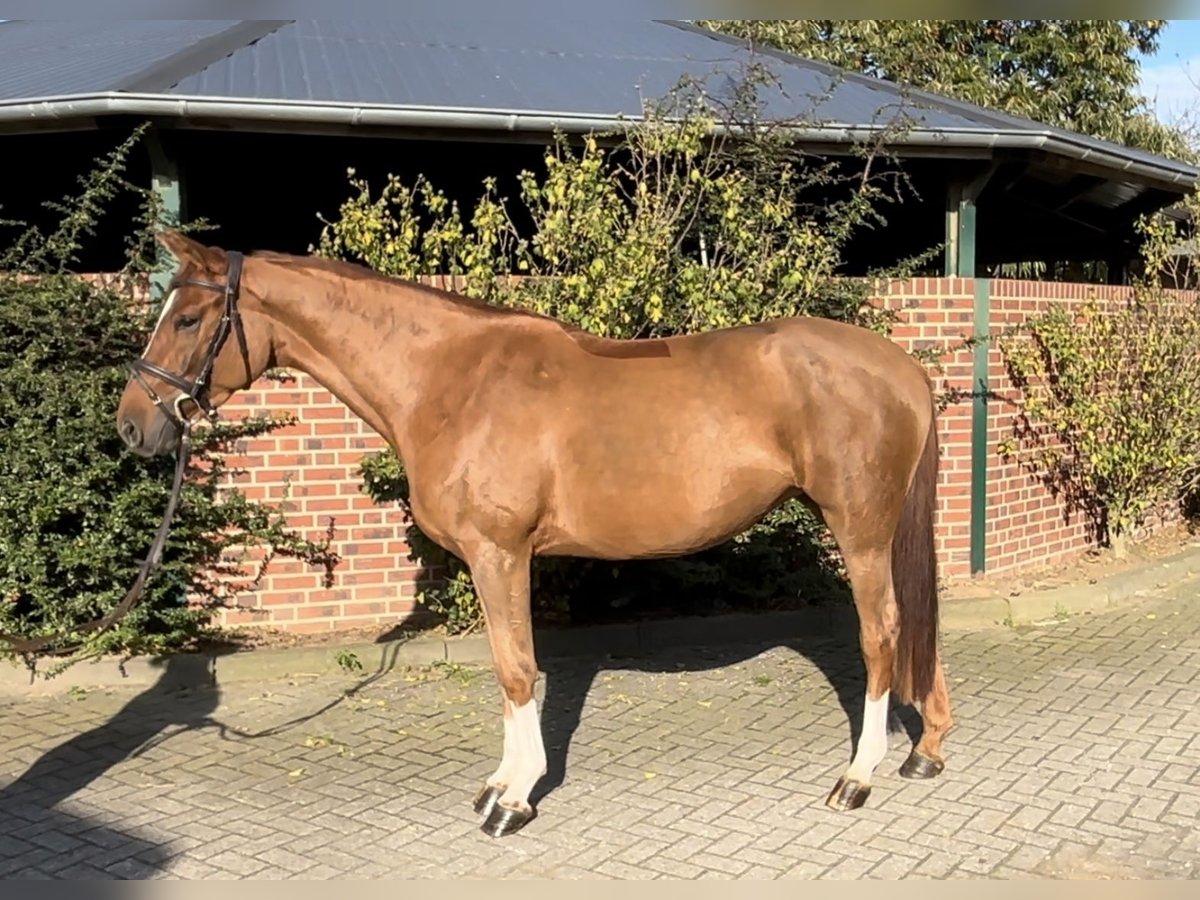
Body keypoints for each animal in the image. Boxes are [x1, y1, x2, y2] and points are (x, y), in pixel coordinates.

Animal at [114, 232, 955, 840]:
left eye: (187, 319)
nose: (132, 426)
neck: (450, 381)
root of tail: (903, 370)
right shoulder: (497, 560)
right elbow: (508, 670)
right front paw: (501, 784)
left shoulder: (501, 554)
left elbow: (518, 671)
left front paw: (512, 800)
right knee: (916, 625)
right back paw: (925, 752)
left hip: (861, 530)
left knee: (883, 633)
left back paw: (858, 777)